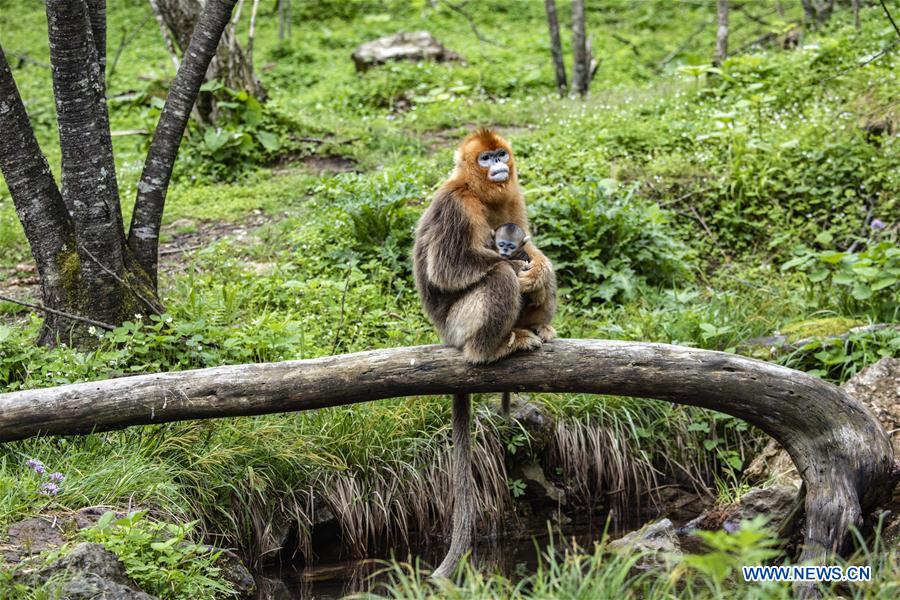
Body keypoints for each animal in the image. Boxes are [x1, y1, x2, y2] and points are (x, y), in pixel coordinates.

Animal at [414, 129, 556, 580]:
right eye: (484, 158)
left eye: (499, 154)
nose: (497, 165)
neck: (481, 192)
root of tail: (446, 337)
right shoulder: (455, 205)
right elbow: (450, 268)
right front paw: (513, 265)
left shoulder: (514, 198)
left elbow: (534, 249)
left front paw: (536, 264)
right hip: (461, 325)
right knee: (496, 279)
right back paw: (492, 347)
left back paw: (535, 325)